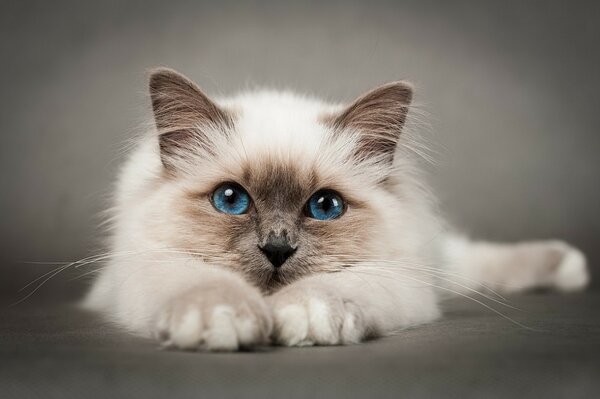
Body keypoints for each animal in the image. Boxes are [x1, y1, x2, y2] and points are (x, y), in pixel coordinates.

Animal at [85, 70, 592, 352]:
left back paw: (569, 266)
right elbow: (204, 286)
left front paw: (304, 320)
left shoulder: (395, 277)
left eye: (325, 206)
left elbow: (330, 289)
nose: (277, 249)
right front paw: (220, 321)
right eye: (231, 200)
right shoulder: (146, 266)